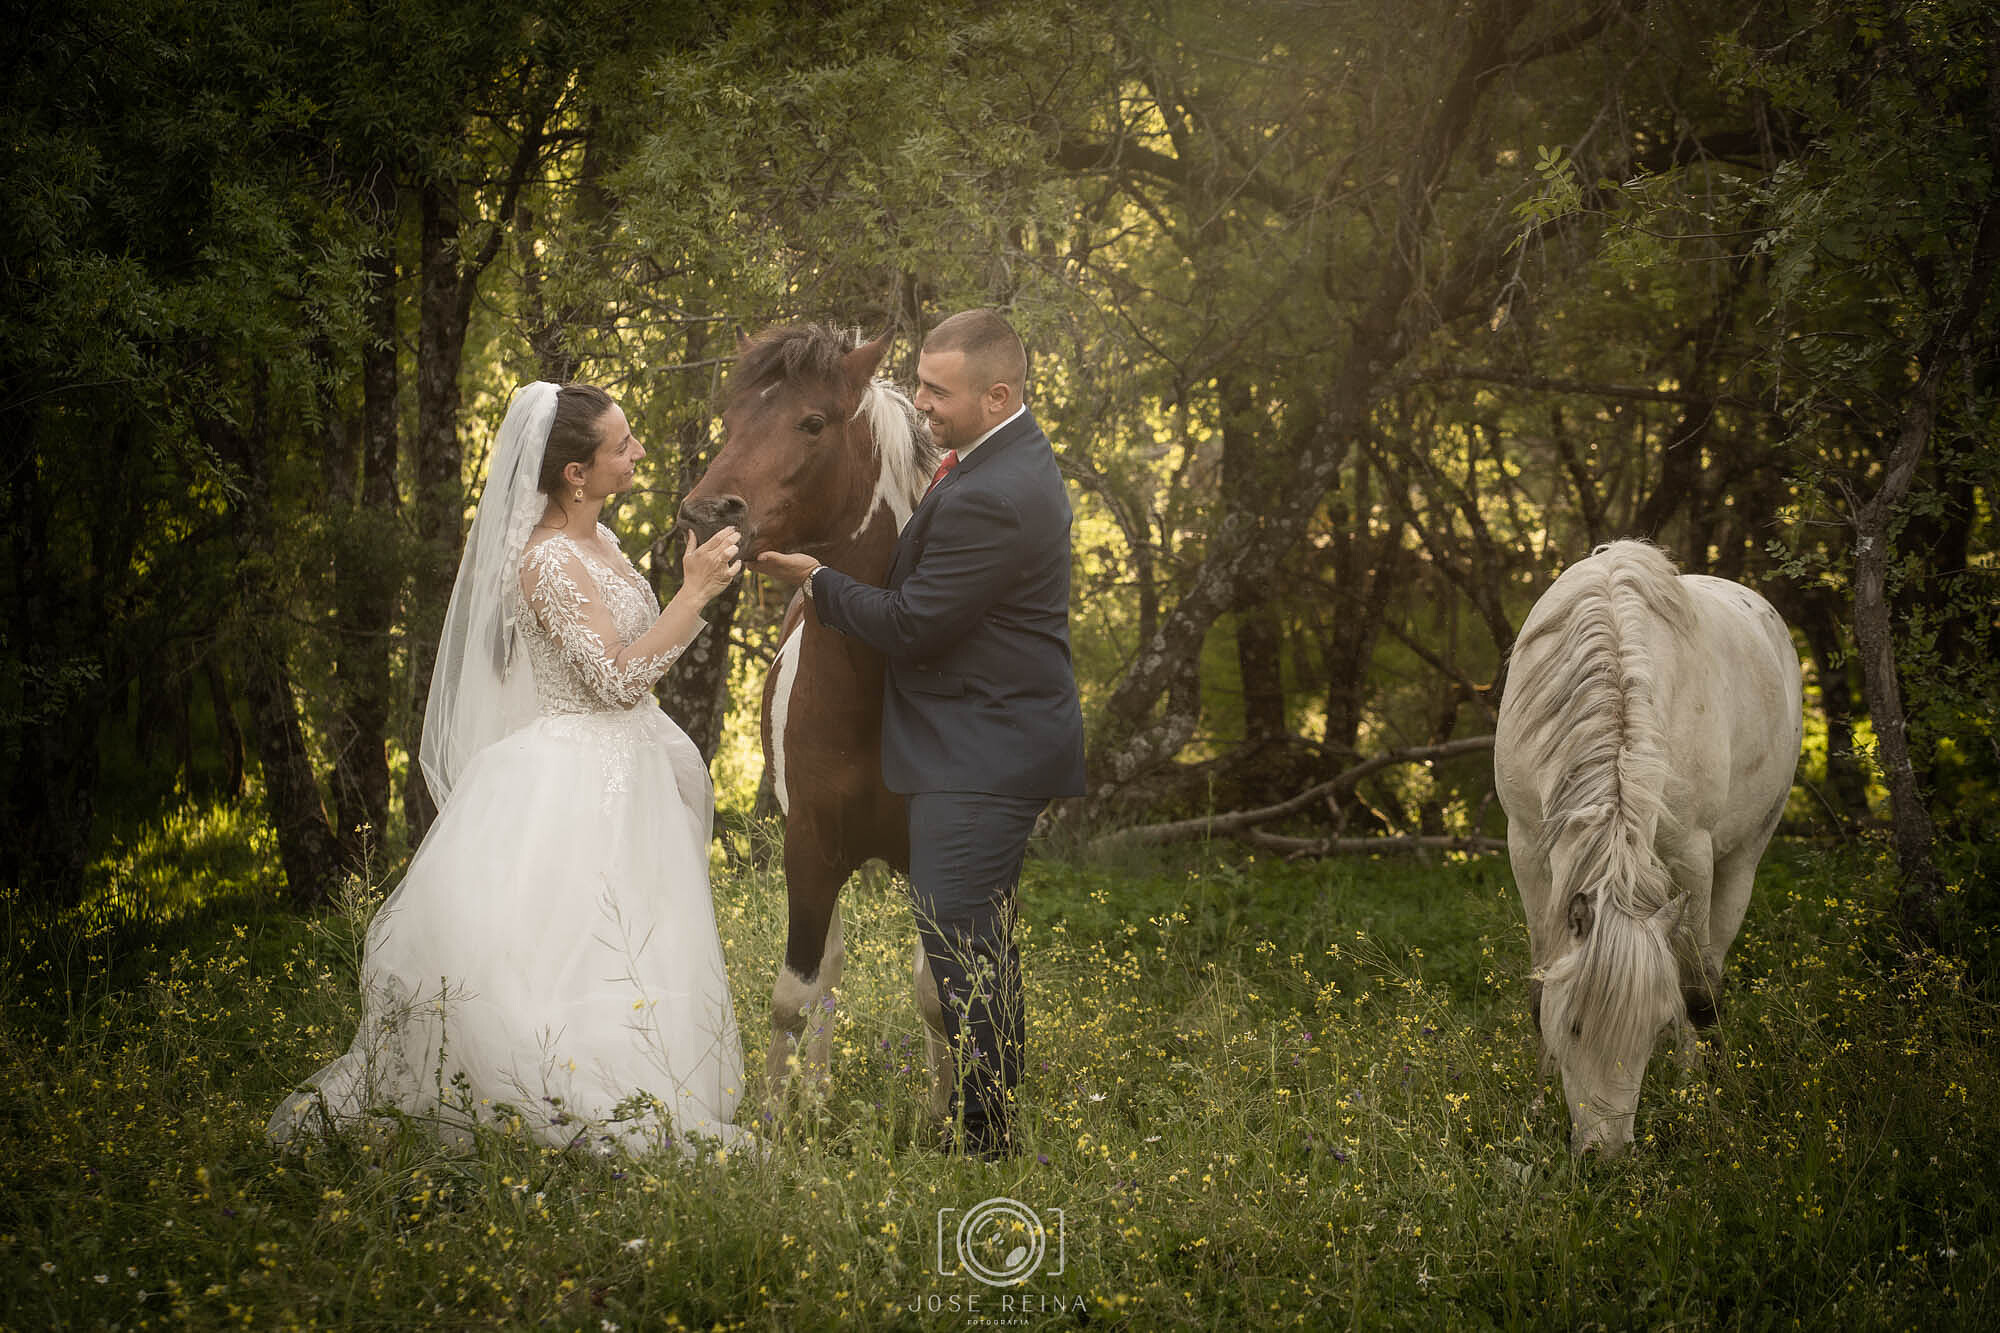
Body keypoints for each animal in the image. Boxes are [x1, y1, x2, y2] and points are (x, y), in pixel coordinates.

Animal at [678, 323, 956, 1120]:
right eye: (732, 417)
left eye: (812, 422)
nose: (706, 514)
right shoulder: (807, 846)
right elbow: (793, 995)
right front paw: (774, 1123)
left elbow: (936, 993)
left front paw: (944, 1114)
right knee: (827, 968)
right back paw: (818, 1091)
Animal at [1493, 540, 1802, 1154]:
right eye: (1574, 1027)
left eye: (1653, 1030)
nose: (1605, 1155)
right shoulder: (1528, 848)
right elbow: (1539, 986)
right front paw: (1536, 1107)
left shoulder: (1692, 856)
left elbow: (1695, 991)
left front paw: (1700, 1102)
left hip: (1744, 855)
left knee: (1710, 968)